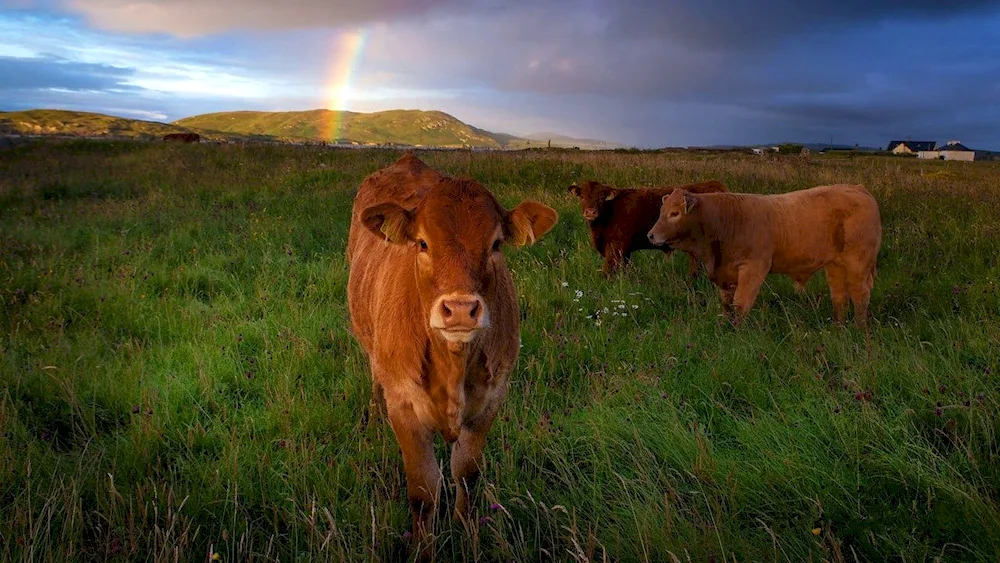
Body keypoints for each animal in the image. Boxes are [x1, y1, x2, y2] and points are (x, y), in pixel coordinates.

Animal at [348, 152, 560, 556]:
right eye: (422, 243)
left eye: (496, 245)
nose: (460, 309)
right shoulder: (404, 406)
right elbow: (423, 492)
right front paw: (424, 549)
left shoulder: (491, 401)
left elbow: (467, 474)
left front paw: (466, 533)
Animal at [572, 181, 728, 278]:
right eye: (582, 196)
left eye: (601, 197)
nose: (590, 212)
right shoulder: (625, 251)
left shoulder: (616, 247)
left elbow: (607, 272)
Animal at [644, 185, 880, 326]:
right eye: (661, 212)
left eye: (675, 213)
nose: (650, 235)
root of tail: (857, 188)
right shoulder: (725, 275)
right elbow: (726, 304)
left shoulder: (753, 268)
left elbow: (741, 303)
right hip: (835, 265)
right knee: (840, 297)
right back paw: (838, 328)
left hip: (858, 264)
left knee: (860, 295)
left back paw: (859, 328)